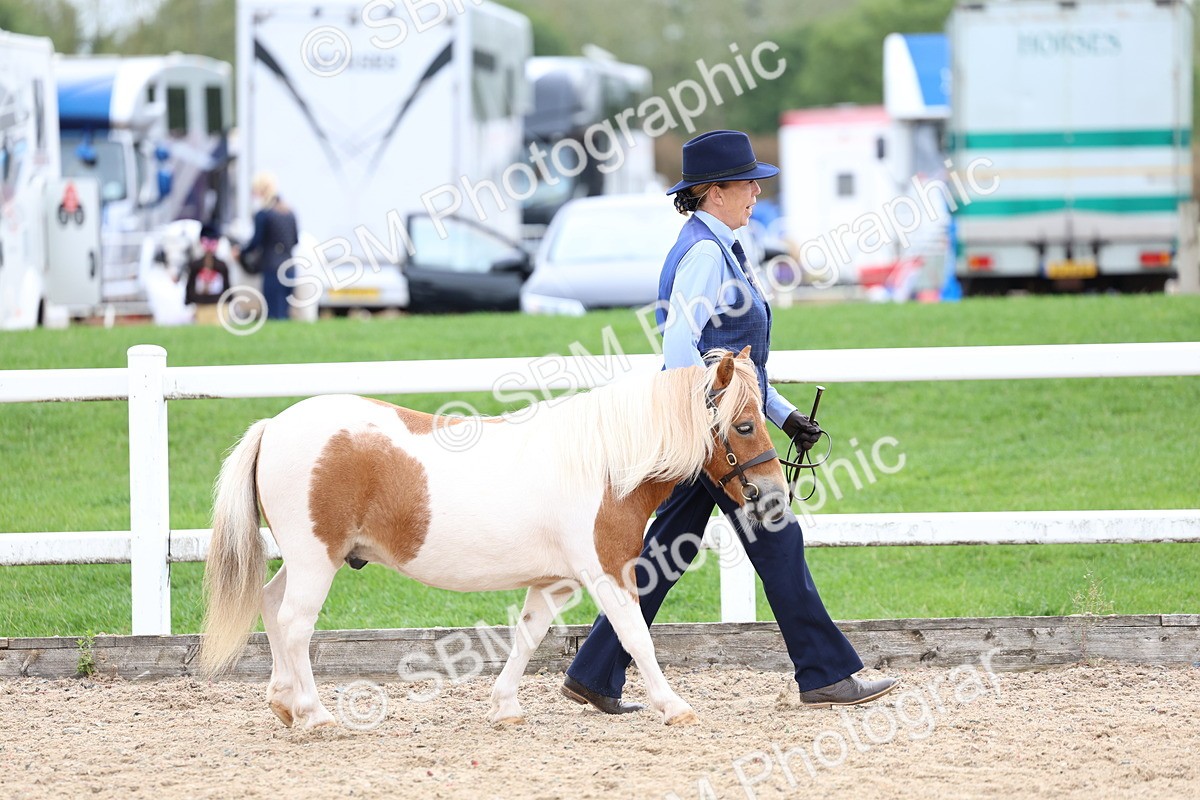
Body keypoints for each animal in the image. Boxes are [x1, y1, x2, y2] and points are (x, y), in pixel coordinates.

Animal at [198, 346, 789, 728]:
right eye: (743, 425)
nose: (773, 495)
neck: (603, 463)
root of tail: (274, 426)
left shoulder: (555, 581)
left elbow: (529, 634)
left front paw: (505, 706)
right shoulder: (607, 571)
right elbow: (636, 636)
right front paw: (674, 706)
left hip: (305, 559)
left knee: (271, 606)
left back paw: (284, 704)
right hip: (316, 558)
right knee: (295, 623)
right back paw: (315, 714)